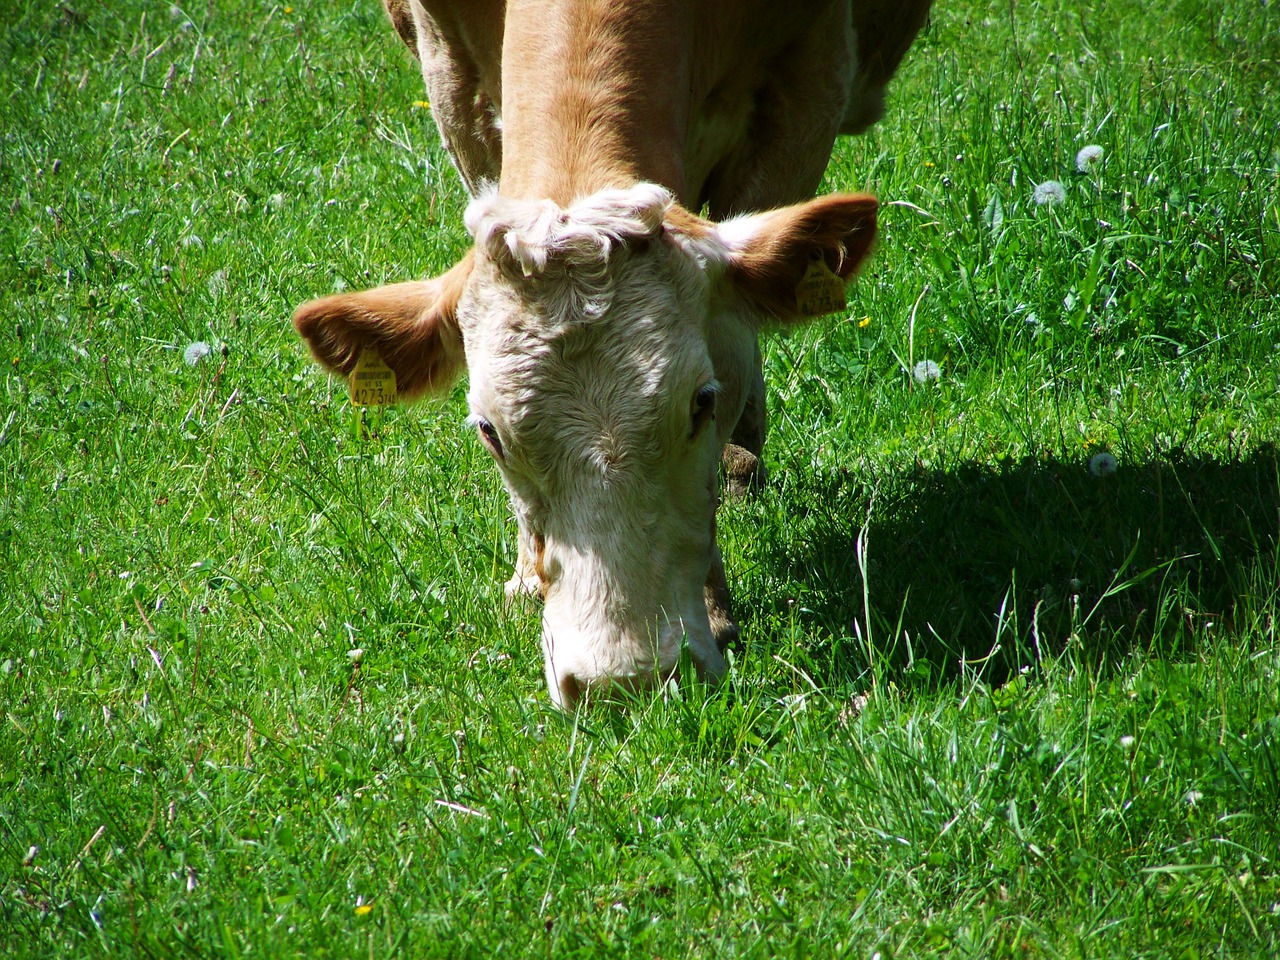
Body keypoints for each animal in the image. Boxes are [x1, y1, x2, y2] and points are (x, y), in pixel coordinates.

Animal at [293, 0, 931, 706]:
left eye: (702, 402)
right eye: (489, 432)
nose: (624, 682)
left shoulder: (809, 81)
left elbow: (737, 340)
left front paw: (715, 607)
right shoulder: (448, 71)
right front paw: (526, 578)